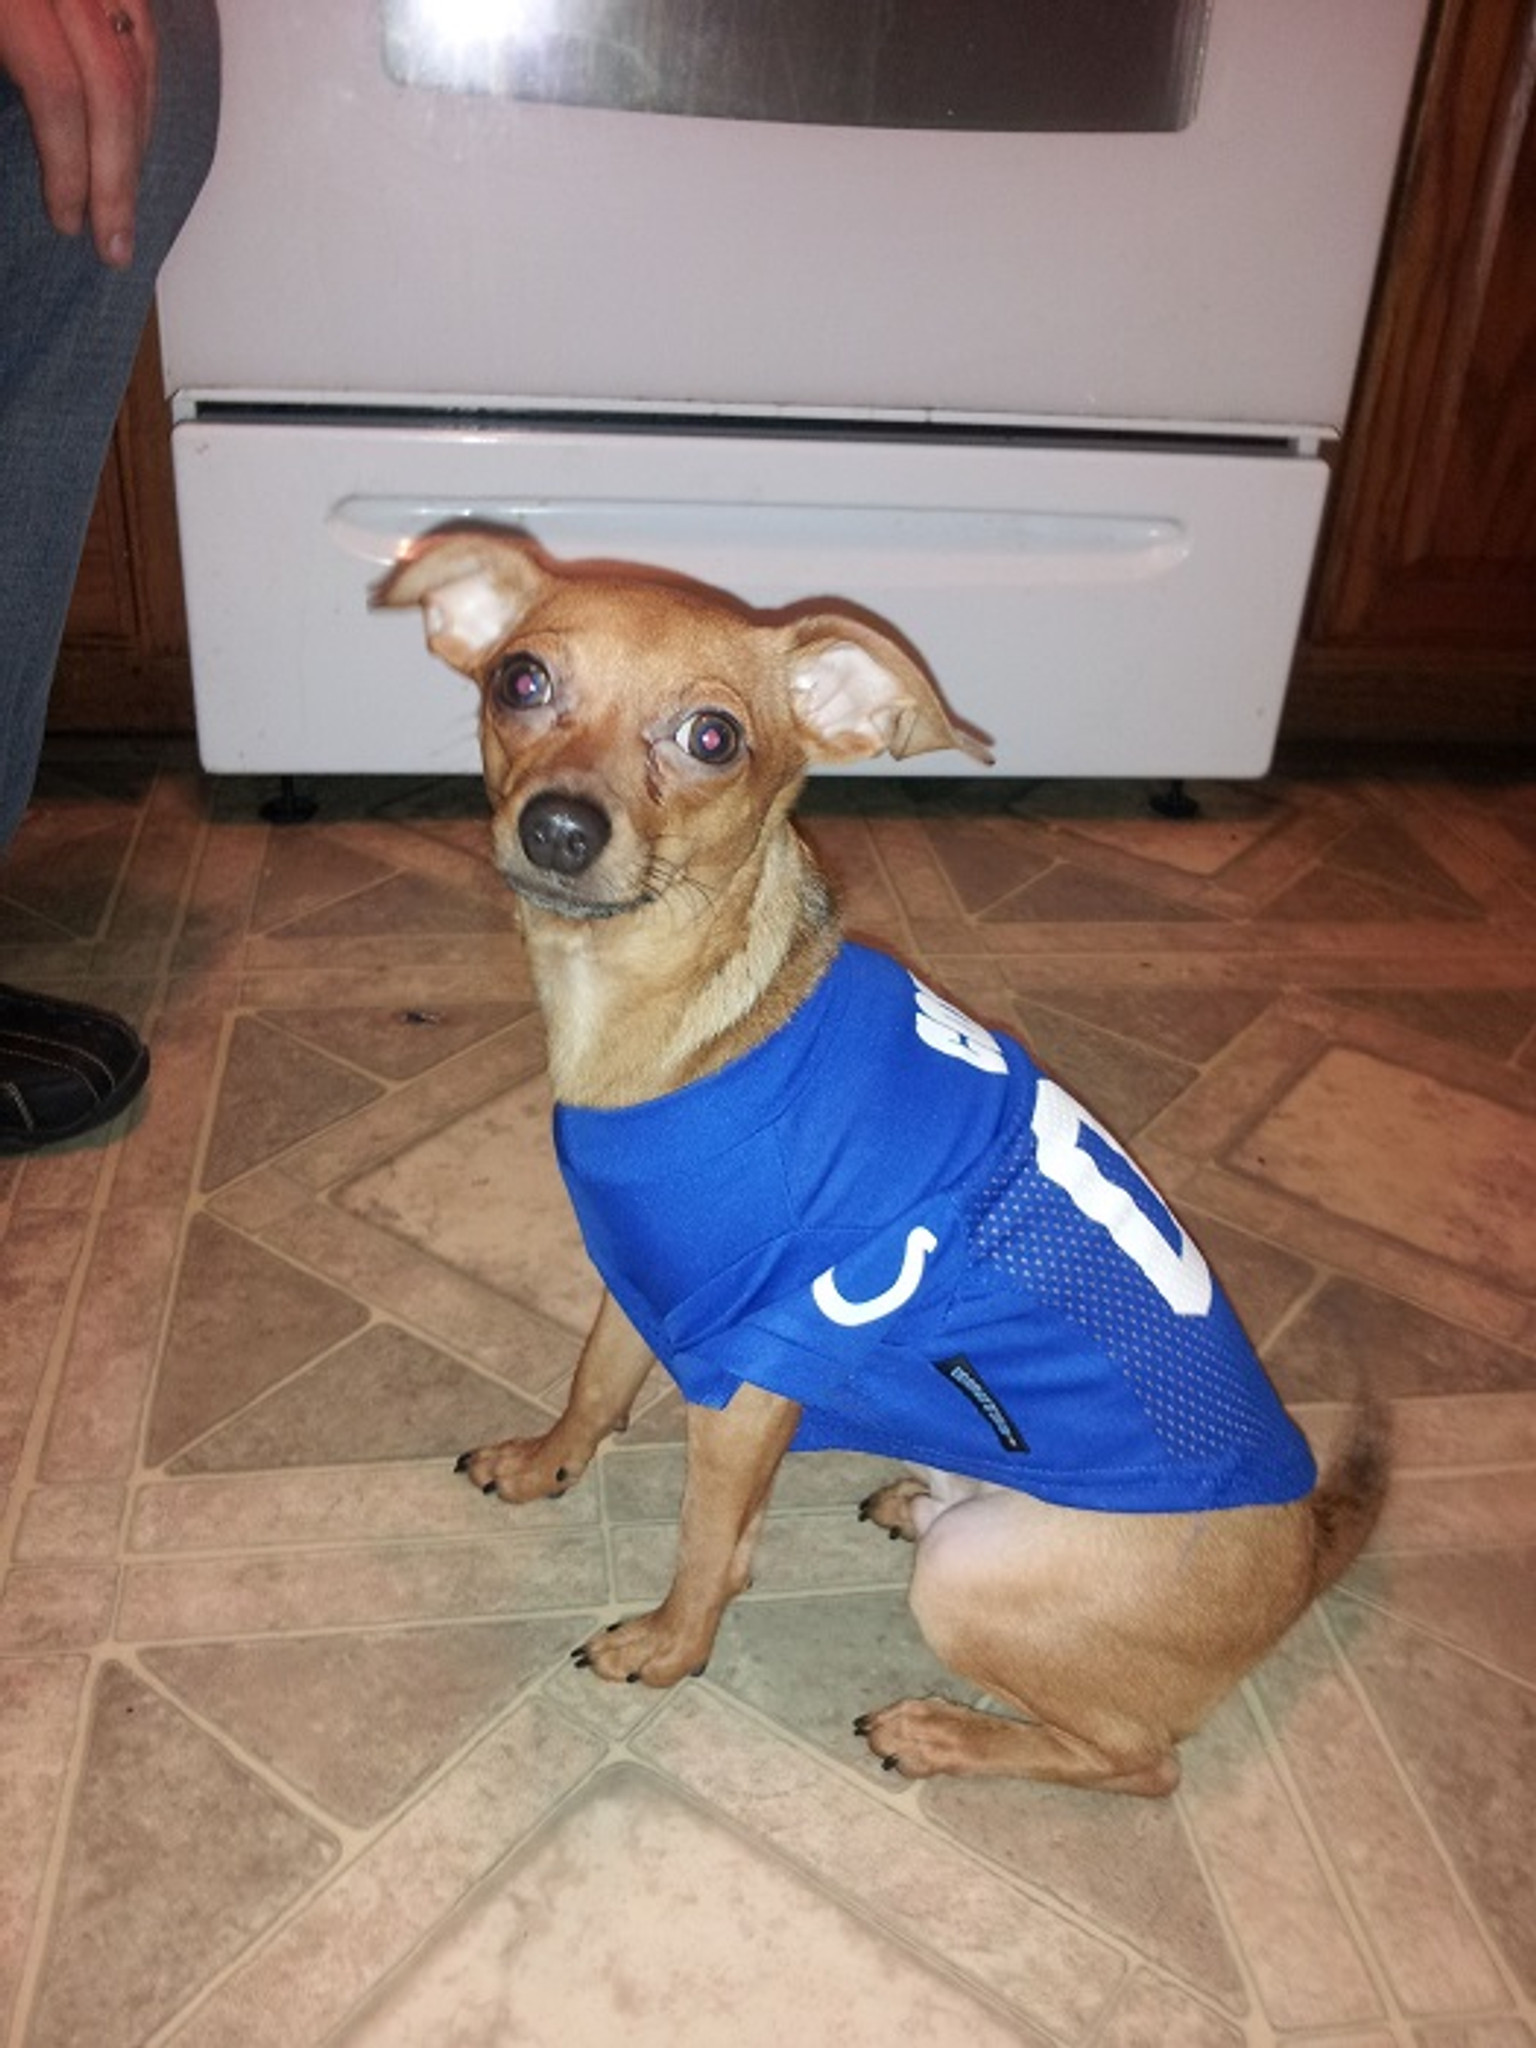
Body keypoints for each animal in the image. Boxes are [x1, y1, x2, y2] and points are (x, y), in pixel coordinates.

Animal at [376, 528, 1392, 1794]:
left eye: (713, 738)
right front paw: (546, 1463)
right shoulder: (653, 1276)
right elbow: (597, 1383)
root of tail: (1304, 1559)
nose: (561, 827)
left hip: (974, 1588)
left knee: (1138, 1761)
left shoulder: (756, 1363)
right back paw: (915, 1500)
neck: (688, 1021)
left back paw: (940, 1730)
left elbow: (708, 1541)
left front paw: (666, 1647)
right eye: (521, 680)